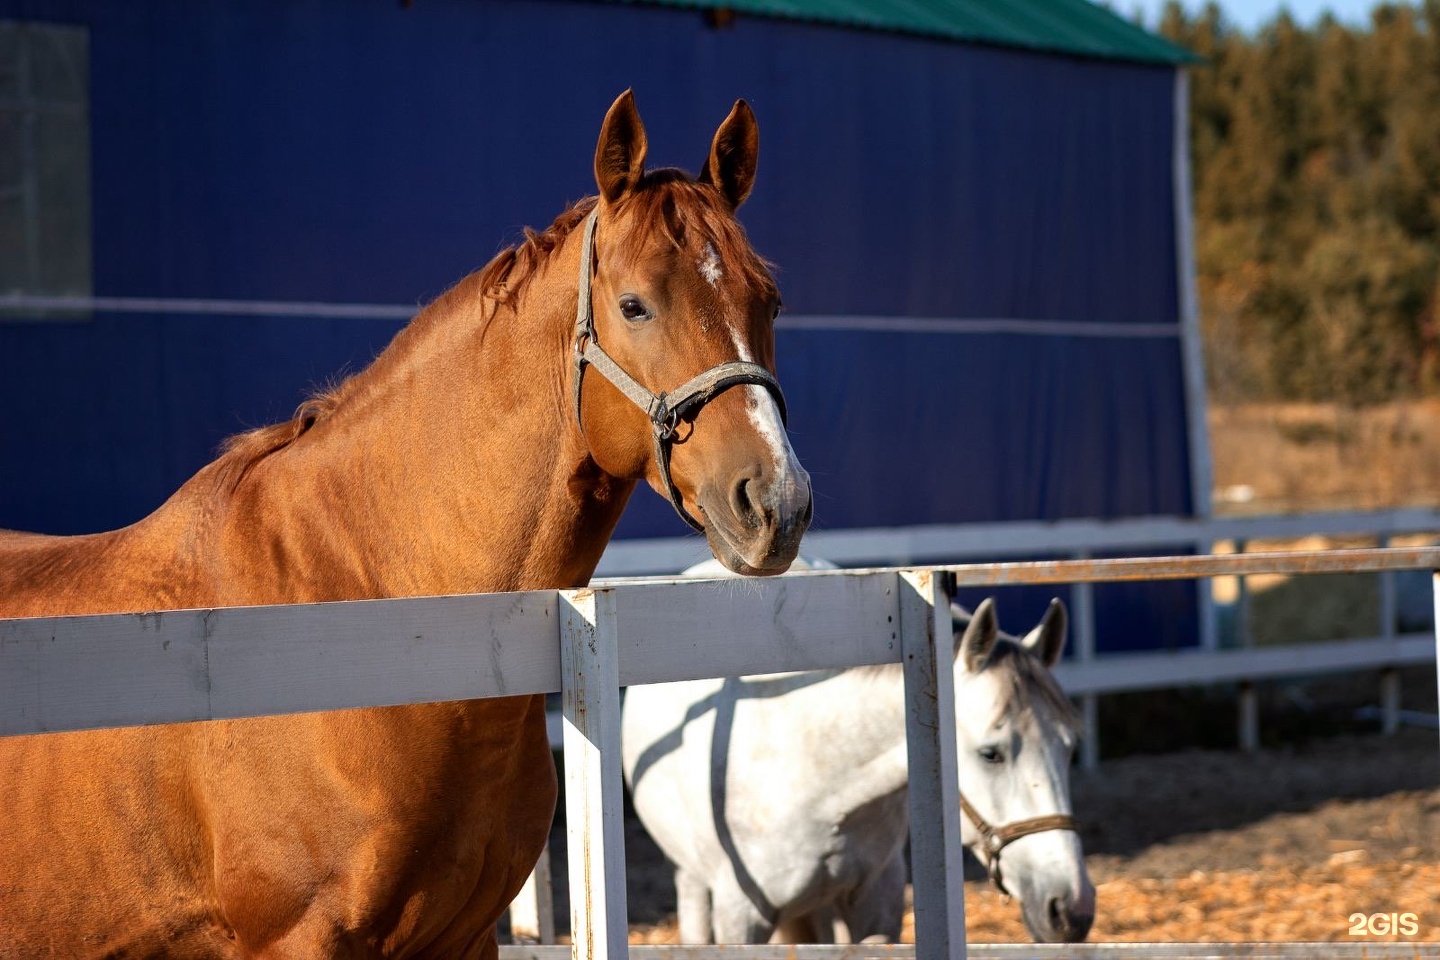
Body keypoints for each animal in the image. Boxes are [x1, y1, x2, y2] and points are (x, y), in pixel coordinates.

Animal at [0, 92, 812, 960]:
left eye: (768, 301)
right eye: (634, 305)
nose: (777, 501)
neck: (374, 617)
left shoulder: (466, 935)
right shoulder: (298, 938)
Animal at [619, 558, 1088, 944]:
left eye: (1070, 748)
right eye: (991, 753)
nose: (1072, 908)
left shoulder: (877, 908)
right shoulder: (740, 915)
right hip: (694, 884)